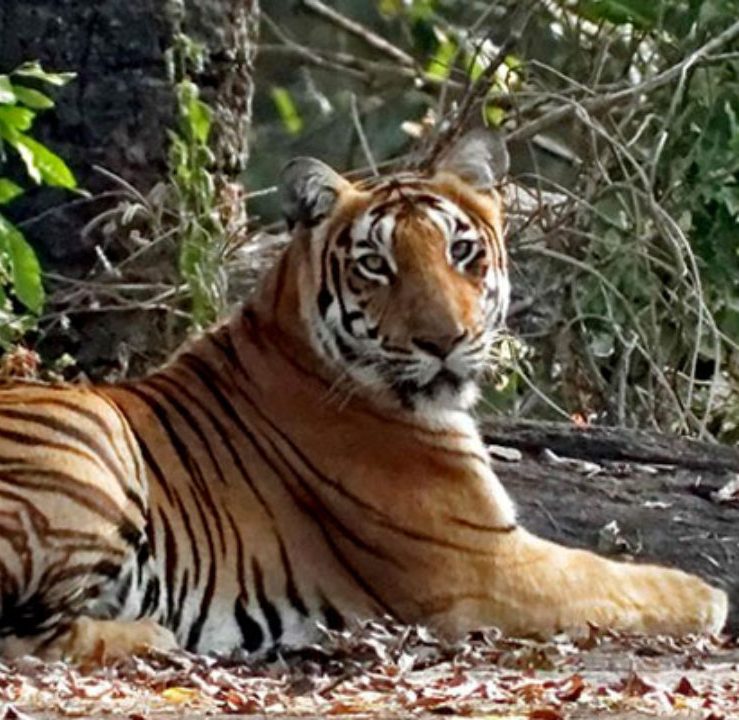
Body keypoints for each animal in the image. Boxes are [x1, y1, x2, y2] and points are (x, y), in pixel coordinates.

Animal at [0, 132, 728, 662]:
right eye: (376, 264)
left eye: (461, 251)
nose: (443, 339)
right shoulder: (485, 566)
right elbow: (622, 581)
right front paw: (709, 596)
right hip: (93, 431)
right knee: (26, 637)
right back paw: (156, 638)